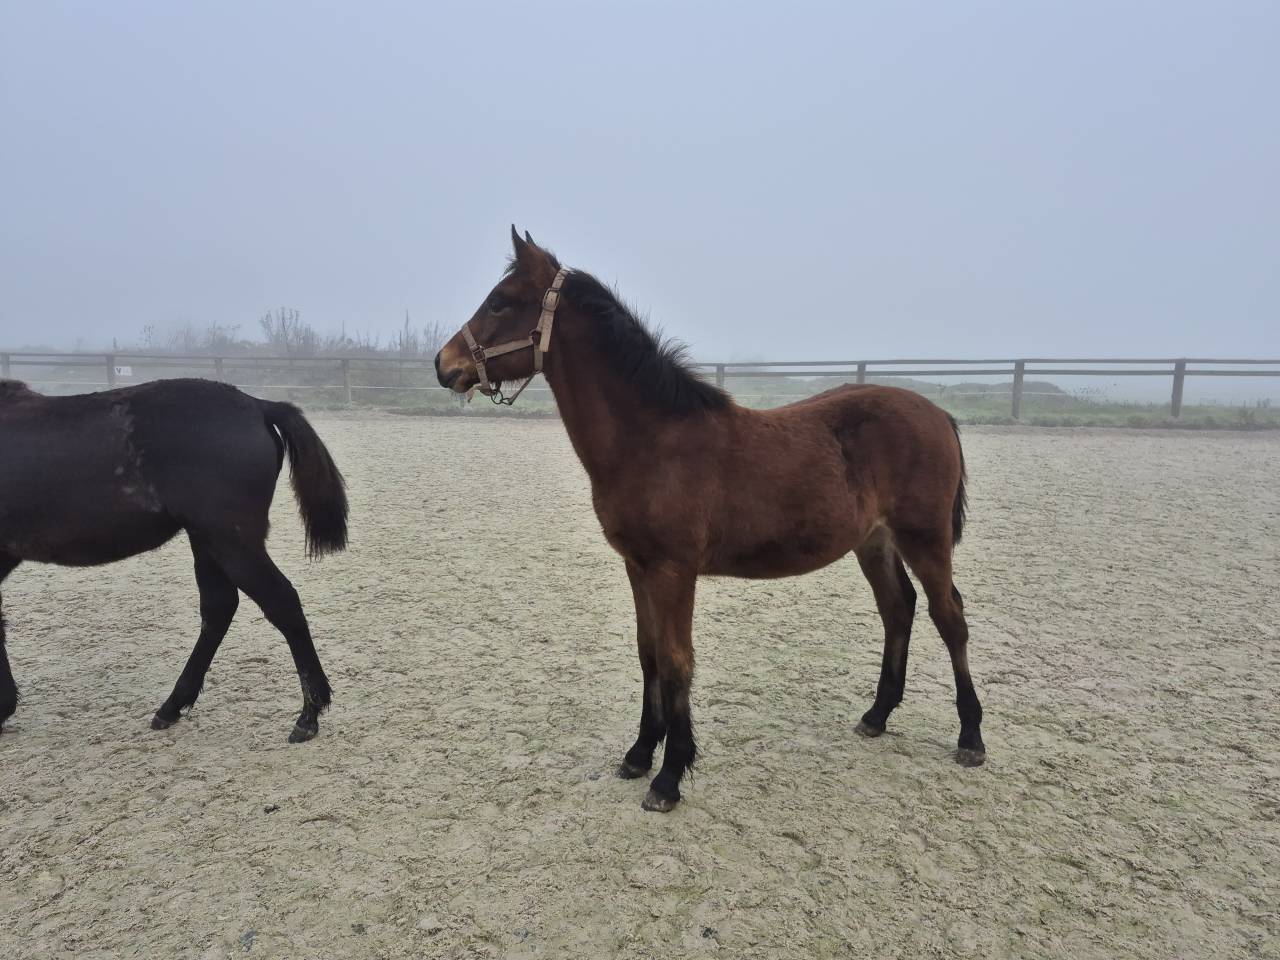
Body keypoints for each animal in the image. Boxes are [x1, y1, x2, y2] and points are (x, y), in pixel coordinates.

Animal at [0, 377, 347, 742]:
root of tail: (256, 405)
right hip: (207, 539)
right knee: (219, 608)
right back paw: (173, 706)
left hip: (231, 541)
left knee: (281, 603)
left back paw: (309, 714)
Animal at [435, 228, 985, 813]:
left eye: (501, 302)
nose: (443, 365)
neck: (651, 440)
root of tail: (938, 414)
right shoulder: (637, 567)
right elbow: (649, 654)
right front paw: (639, 753)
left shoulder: (673, 571)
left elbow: (677, 661)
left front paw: (669, 776)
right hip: (874, 541)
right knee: (897, 609)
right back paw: (877, 716)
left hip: (926, 538)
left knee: (949, 617)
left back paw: (971, 737)